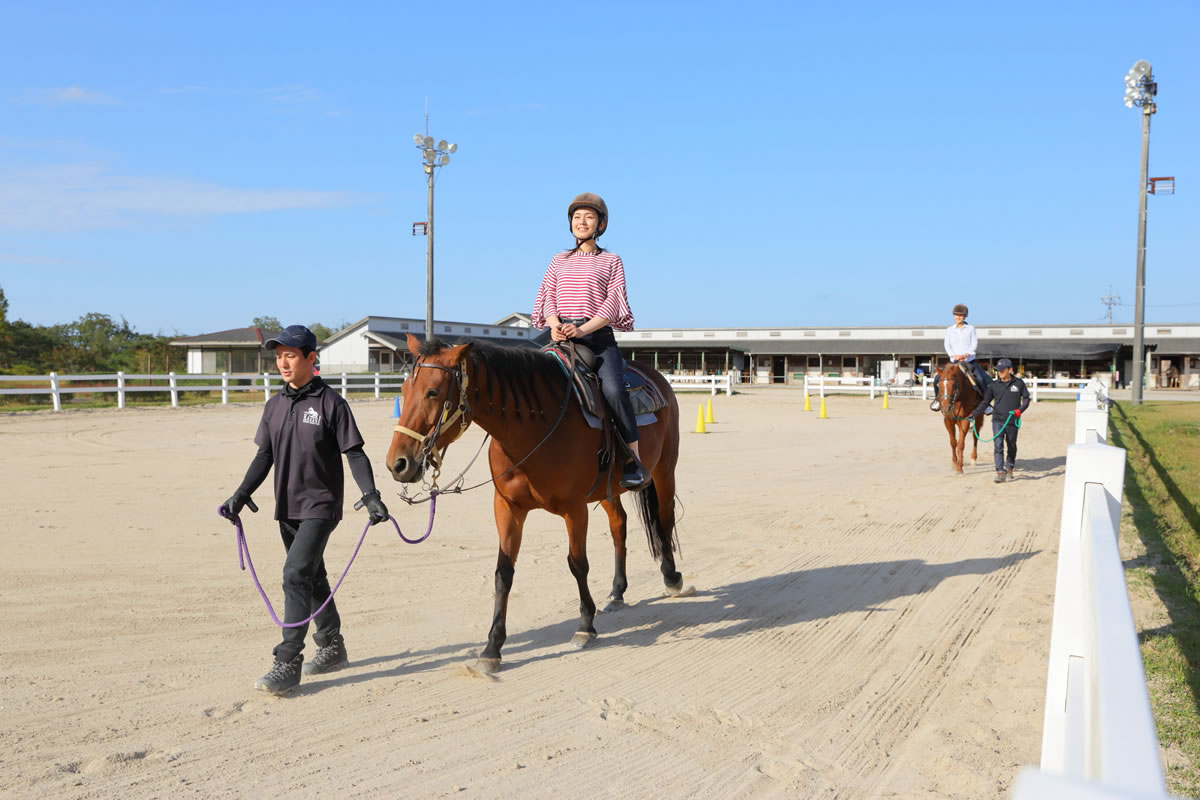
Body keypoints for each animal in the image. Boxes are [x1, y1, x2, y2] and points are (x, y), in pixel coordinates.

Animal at [384, 335, 686, 671]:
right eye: (404, 389)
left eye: (433, 392)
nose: (397, 463)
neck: (535, 428)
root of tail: (656, 375)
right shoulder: (507, 507)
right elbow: (503, 573)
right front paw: (492, 648)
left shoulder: (574, 509)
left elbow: (578, 564)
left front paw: (585, 626)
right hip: (609, 489)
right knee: (619, 526)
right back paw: (617, 592)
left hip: (664, 470)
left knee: (664, 519)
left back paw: (672, 577)